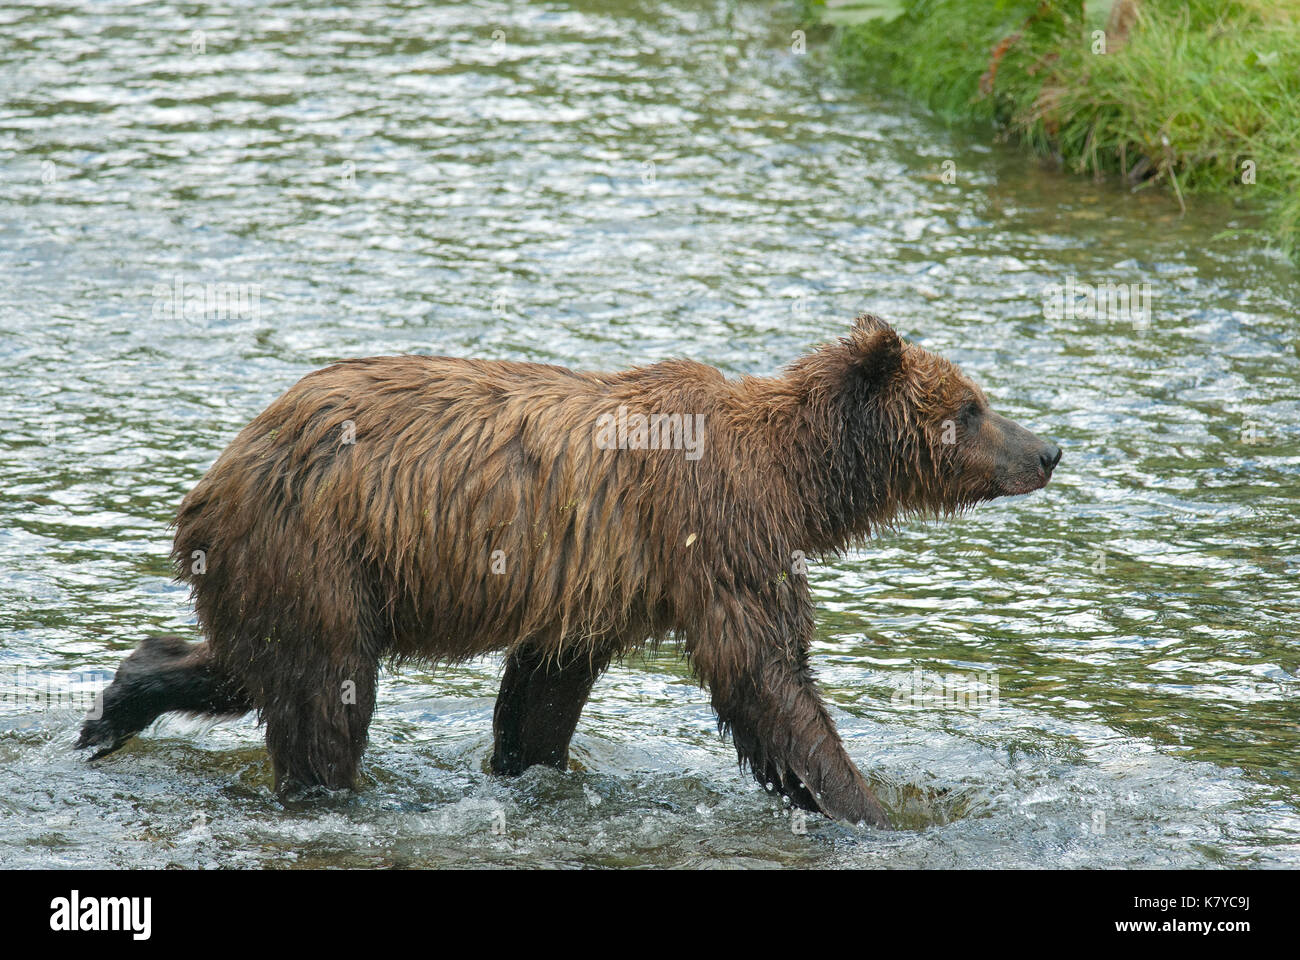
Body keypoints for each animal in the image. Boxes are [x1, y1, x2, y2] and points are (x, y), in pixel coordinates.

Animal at [78, 312, 1055, 822]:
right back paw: (323, 795)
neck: (791, 479)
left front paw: (527, 764)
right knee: (326, 693)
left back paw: (115, 706)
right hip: (322, 548)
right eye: (970, 407)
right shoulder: (716, 534)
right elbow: (766, 674)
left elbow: (545, 690)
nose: (1046, 450)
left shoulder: (597, 583)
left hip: (279, 567)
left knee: (251, 664)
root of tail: (222, 469)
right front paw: (870, 805)